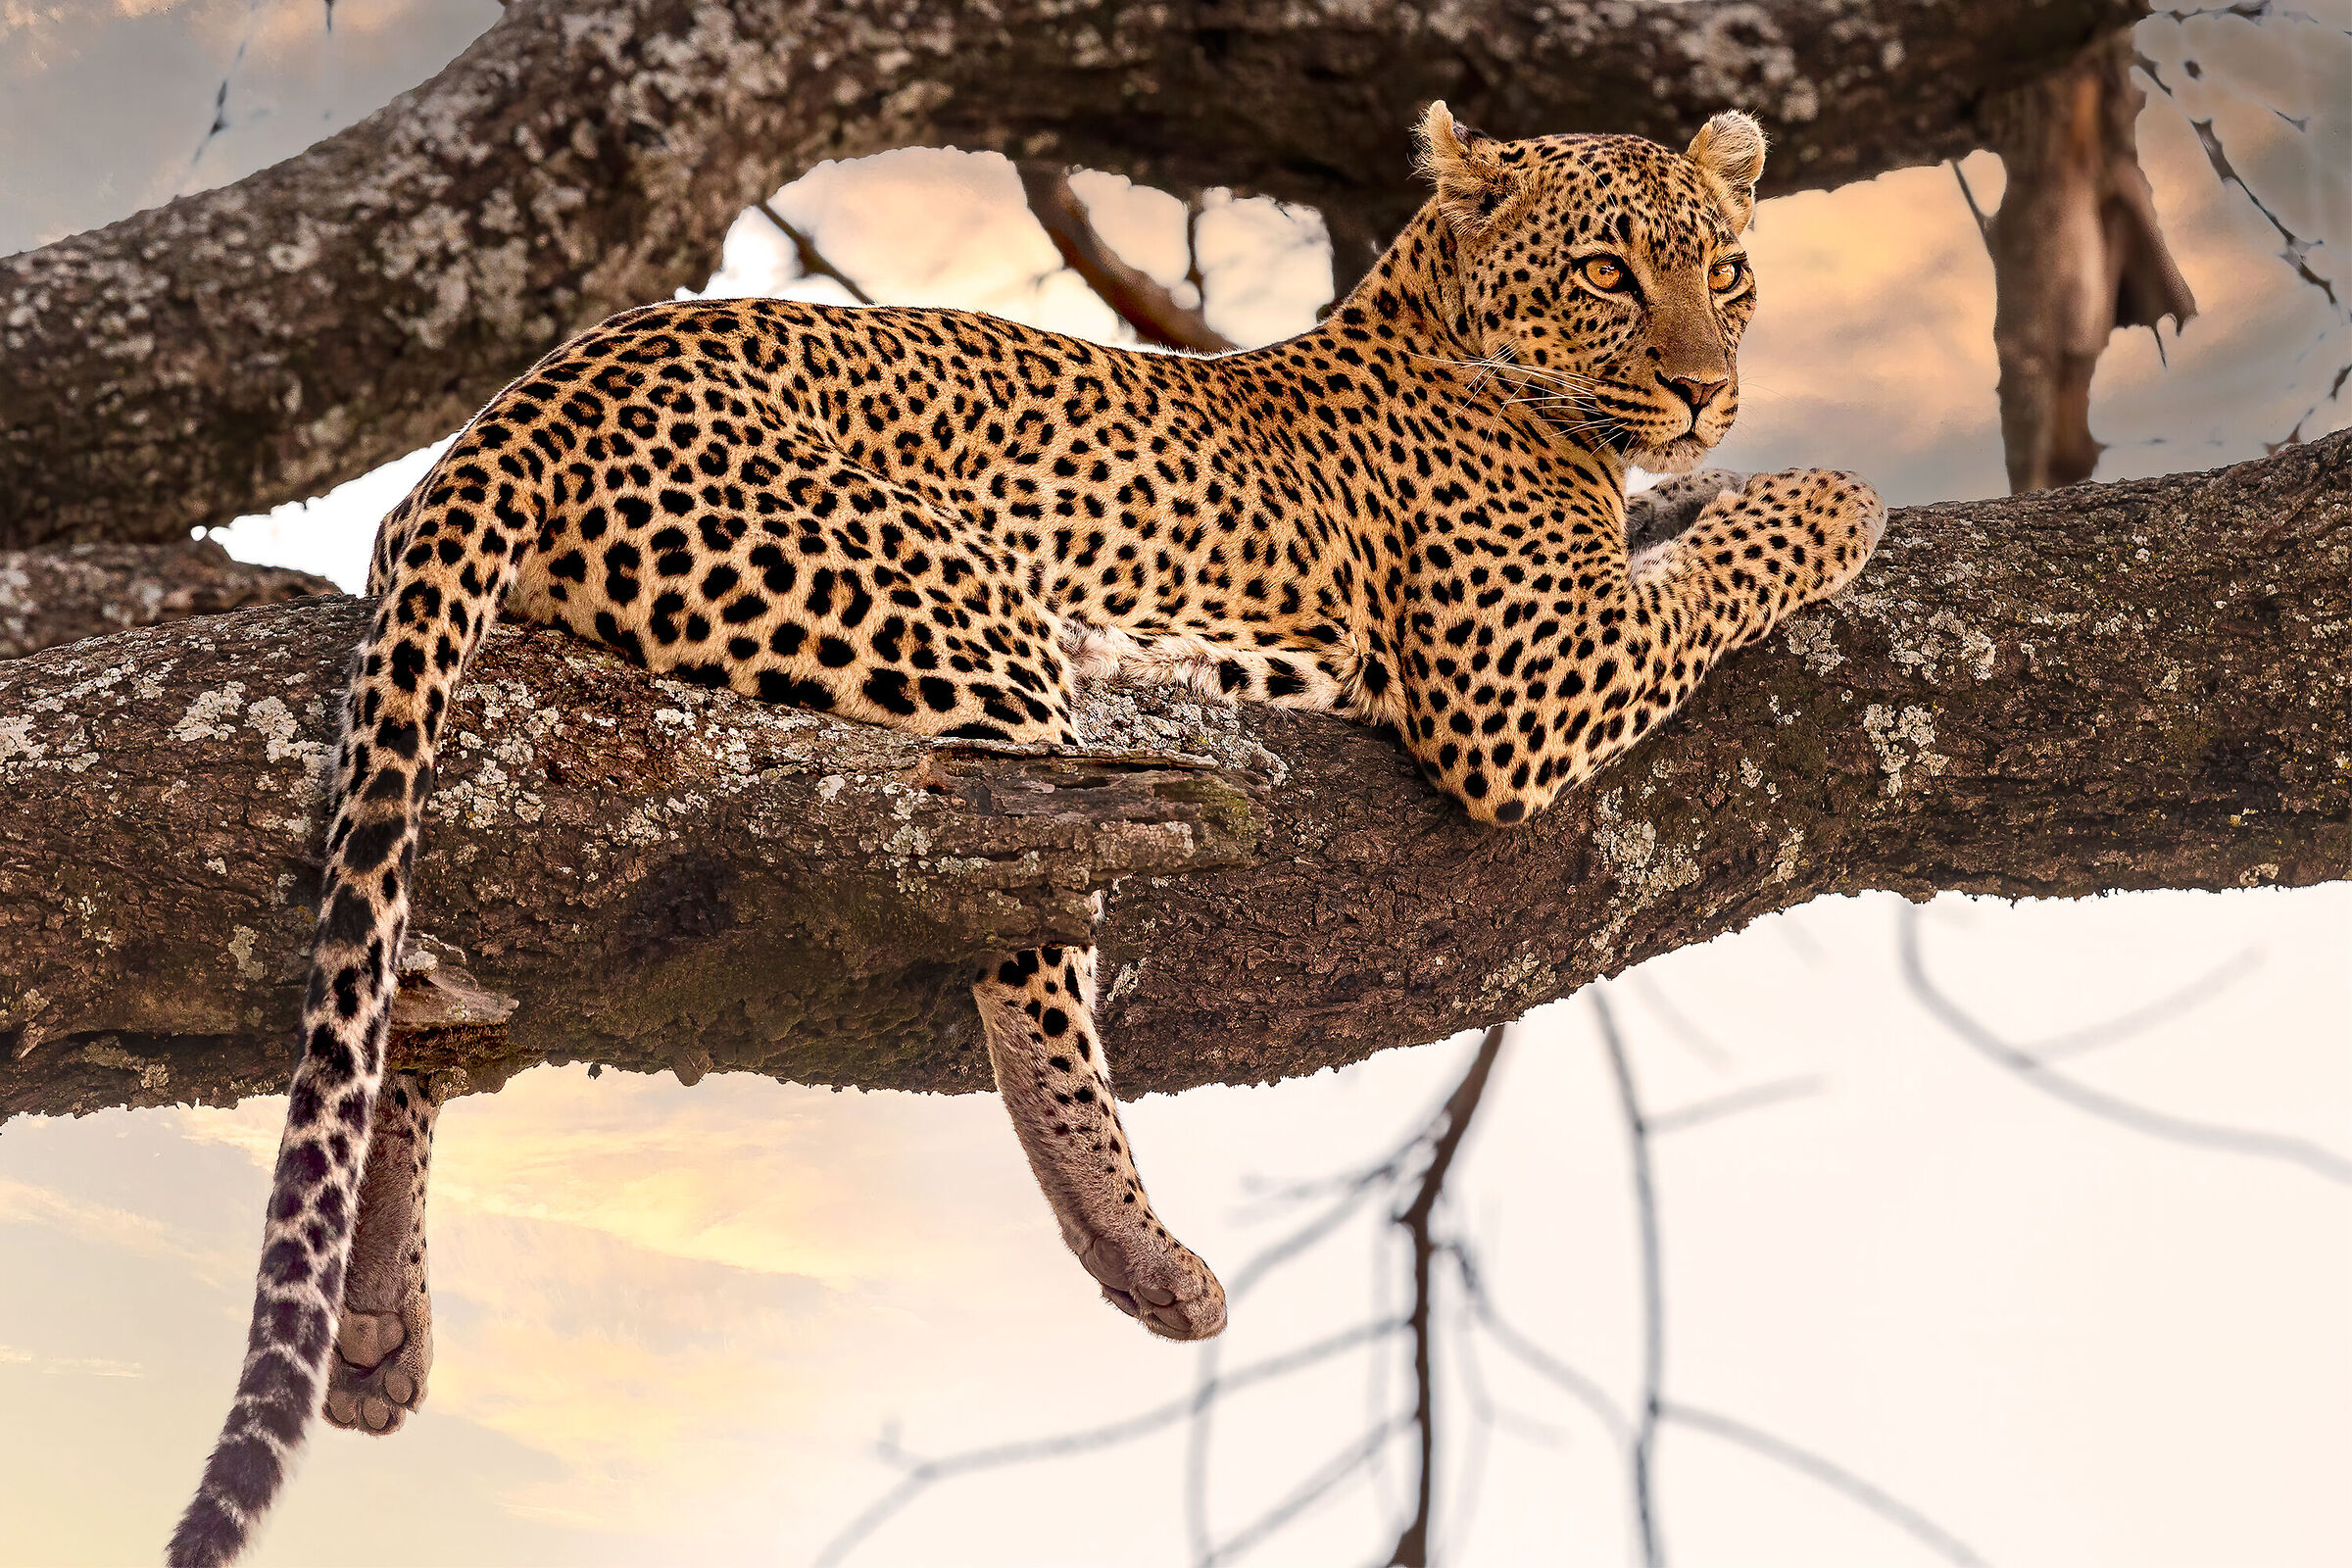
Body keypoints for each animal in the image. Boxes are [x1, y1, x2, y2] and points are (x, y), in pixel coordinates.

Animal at [168, 103, 1885, 1564]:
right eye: (1609, 272)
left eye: (1728, 274)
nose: (1707, 387)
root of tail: (517, 411)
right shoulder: (1519, 683)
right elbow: (1731, 559)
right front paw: (1830, 493)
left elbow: (1678, 536)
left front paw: (1722, 477)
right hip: (965, 620)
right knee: (1025, 930)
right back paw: (1135, 1242)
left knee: (411, 981)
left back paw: (376, 1317)